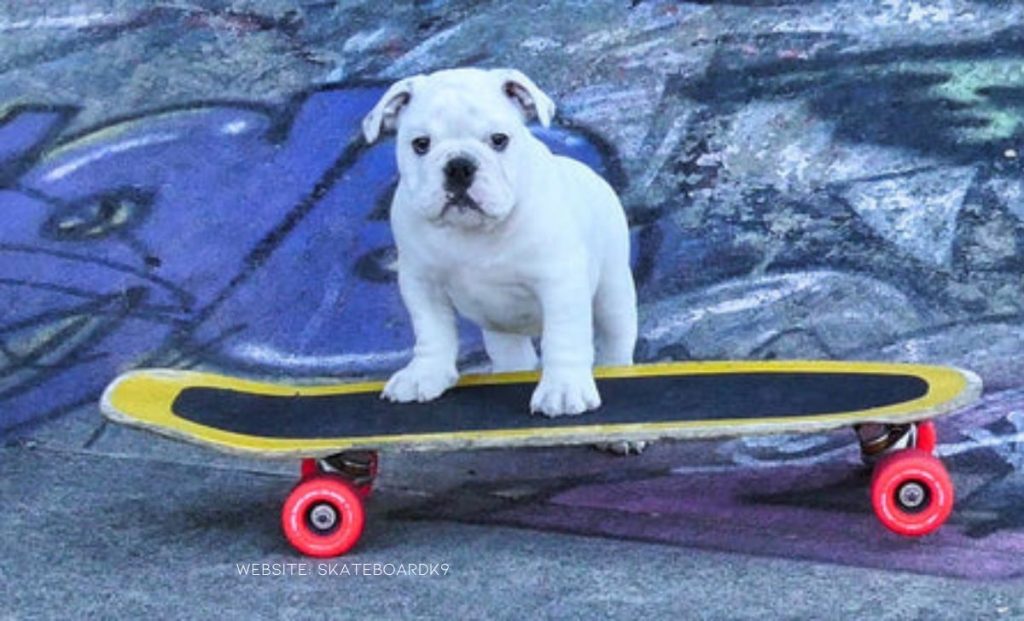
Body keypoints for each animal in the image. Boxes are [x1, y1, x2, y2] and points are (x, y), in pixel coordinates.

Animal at [360, 67, 630, 418]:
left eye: (499, 140)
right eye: (420, 144)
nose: (459, 166)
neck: (473, 231)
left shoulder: (560, 282)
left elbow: (564, 336)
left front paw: (562, 388)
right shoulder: (421, 282)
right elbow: (432, 331)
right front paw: (424, 374)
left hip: (613, 293)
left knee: (616, 340)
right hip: (501, 329)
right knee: (513, 356)